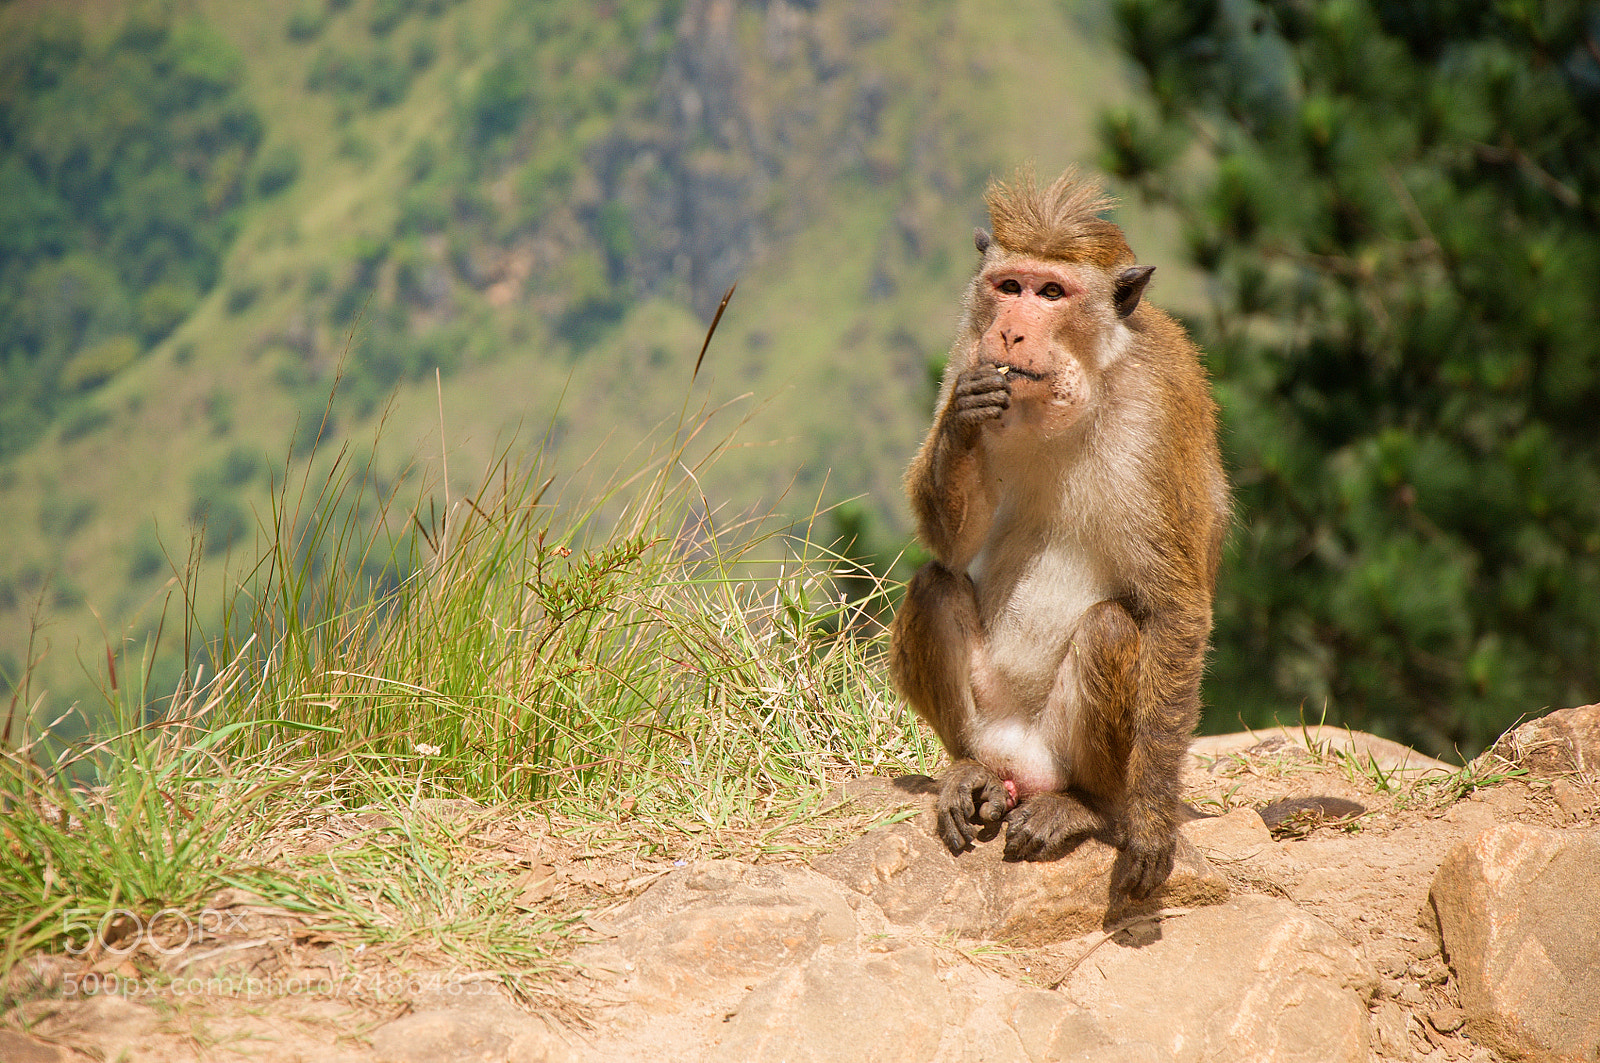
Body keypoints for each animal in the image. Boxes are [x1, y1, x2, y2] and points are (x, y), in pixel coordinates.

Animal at [889, 166, 1229, 901]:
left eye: (1051, 293)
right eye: (1008, 286)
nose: (1011, 333)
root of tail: (1025, 766)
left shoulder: (1157, 407)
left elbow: (1174, 607)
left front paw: (1151, 826)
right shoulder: (963, 349)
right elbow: (950, 547)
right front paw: (964, 415)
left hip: (1066, 749)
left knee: (1110, 628)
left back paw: (1088, 805)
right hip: (992, 722)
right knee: (934, 583)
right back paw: (970, 772)